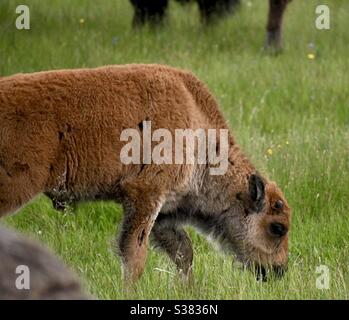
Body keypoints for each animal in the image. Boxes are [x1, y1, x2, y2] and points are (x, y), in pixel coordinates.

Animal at [0, 65, 290, 282]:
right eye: (278, 228)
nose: (279, 271)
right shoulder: (145, 195)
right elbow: (134, 254)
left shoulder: (164, 210)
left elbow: (183, 251)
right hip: (14, 188)